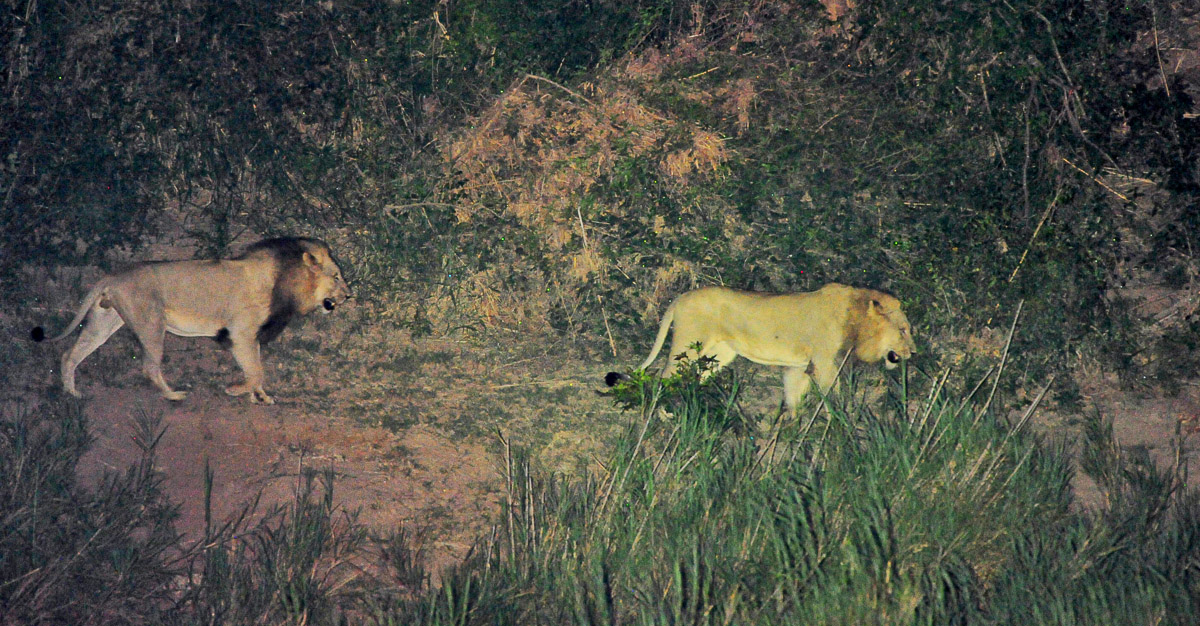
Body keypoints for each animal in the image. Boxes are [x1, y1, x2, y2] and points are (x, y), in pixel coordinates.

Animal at [31, 237, 351, 404]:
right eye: (336, 276)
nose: (349, 295)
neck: (286, 279)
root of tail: (111, 276)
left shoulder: (251, 336)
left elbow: (257, 369)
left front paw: (260, 397)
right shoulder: (241, 333)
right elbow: (256, 371)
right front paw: (236, 390)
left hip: (104, 321)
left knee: (70, 355)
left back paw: (72, 392)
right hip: (152, 324)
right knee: (149, 366)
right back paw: (173, 395)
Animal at [605, 283, 916, 411]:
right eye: (903, 330)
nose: (913, 352)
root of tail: (680, 297)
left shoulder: (799, 367)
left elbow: (794, 399)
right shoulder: (826, 363)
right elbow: (834, 397)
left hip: (717, 356)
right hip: (688, 347)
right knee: (663, 379)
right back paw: (663, 415)